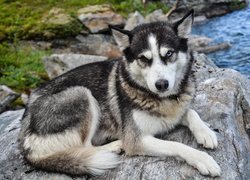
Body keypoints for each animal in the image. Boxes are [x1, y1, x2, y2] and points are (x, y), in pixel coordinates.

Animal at [19, 9, 221, 176]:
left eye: (169, 53)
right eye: (143, 59)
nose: (162, 84)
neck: (163, 100)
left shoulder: (177, 110)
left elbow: (190, 112)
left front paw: (206, 133)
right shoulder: (136, 140)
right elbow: (176, 145)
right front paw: (203, 159)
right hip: (81, 94)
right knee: (85, 147)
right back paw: (113, 146)